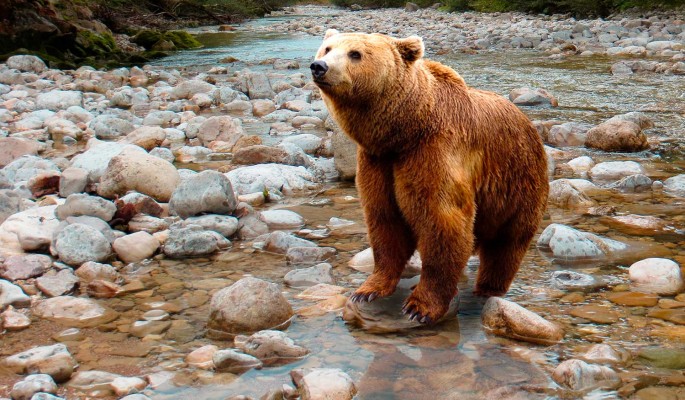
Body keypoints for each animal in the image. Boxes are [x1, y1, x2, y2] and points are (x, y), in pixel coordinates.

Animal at [312, 30, 548, 324]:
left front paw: (420, 306)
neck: (405, 130)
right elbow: (384, 221)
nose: (319, 66)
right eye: (327, 48)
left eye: (355, 53)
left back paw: (487, 288)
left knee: (506, 245)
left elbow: (442, 221)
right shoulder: (378, 162)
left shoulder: (433, 152)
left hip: (517, 182)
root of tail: (529, 123)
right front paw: (368, 290)